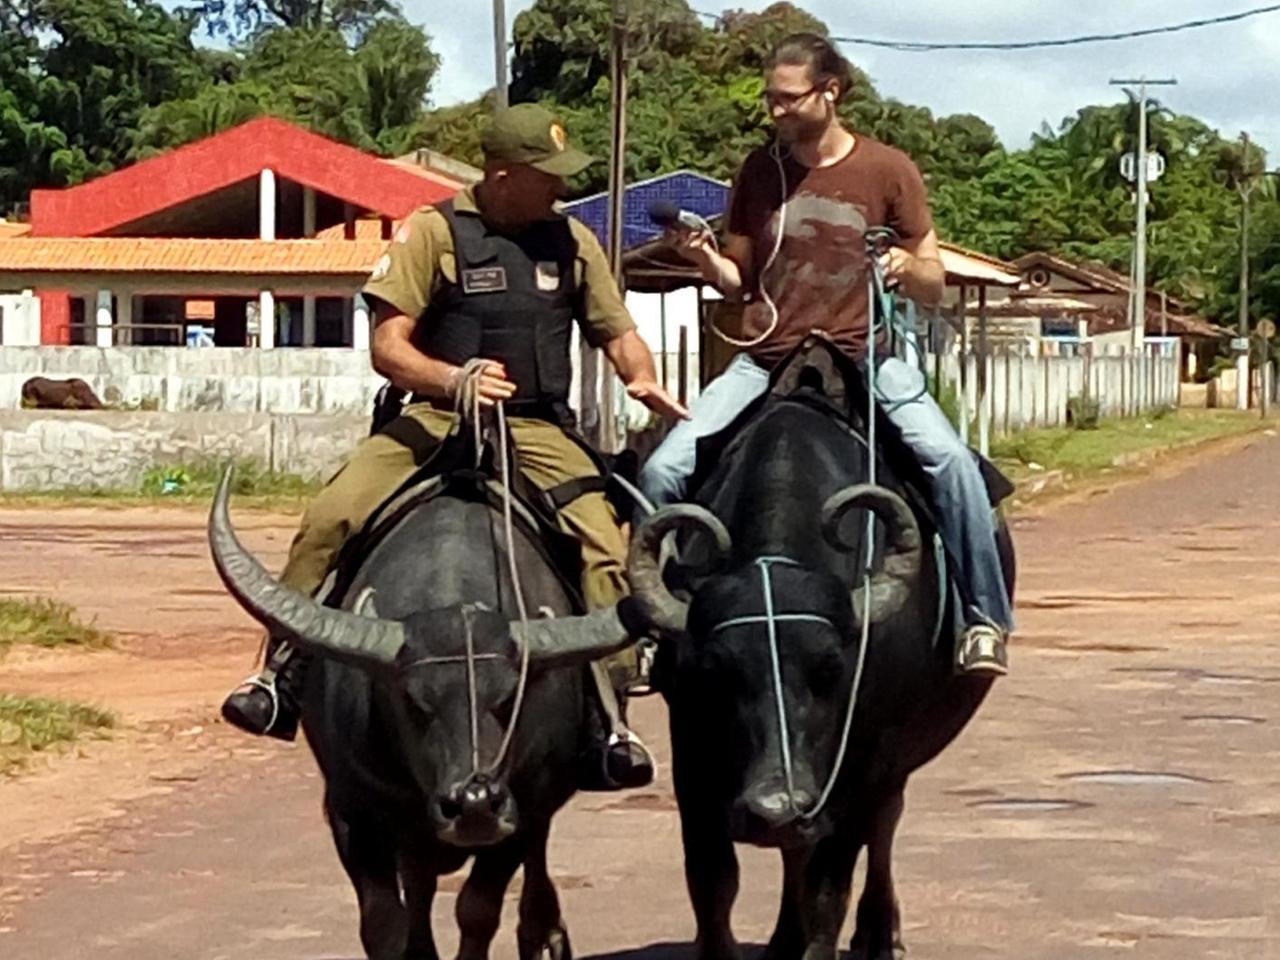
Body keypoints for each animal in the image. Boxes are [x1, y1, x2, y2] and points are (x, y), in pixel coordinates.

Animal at [208, 471, 640, 960]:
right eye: (414, 701)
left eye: (510, 696)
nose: (473, 804)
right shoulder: (349, 809)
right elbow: (384, 922)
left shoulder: (523, 807)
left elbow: (477, 908)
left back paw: (545, 933)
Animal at [627, 371, 1008, 960]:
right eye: (716, 674)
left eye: (831, 670)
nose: (775, 805)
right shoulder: (691, 752)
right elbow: (712, 882)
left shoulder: (864, 761)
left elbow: (830, 890)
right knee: (798, 850)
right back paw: (786, 935)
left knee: (883, 823)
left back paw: (879, 932)